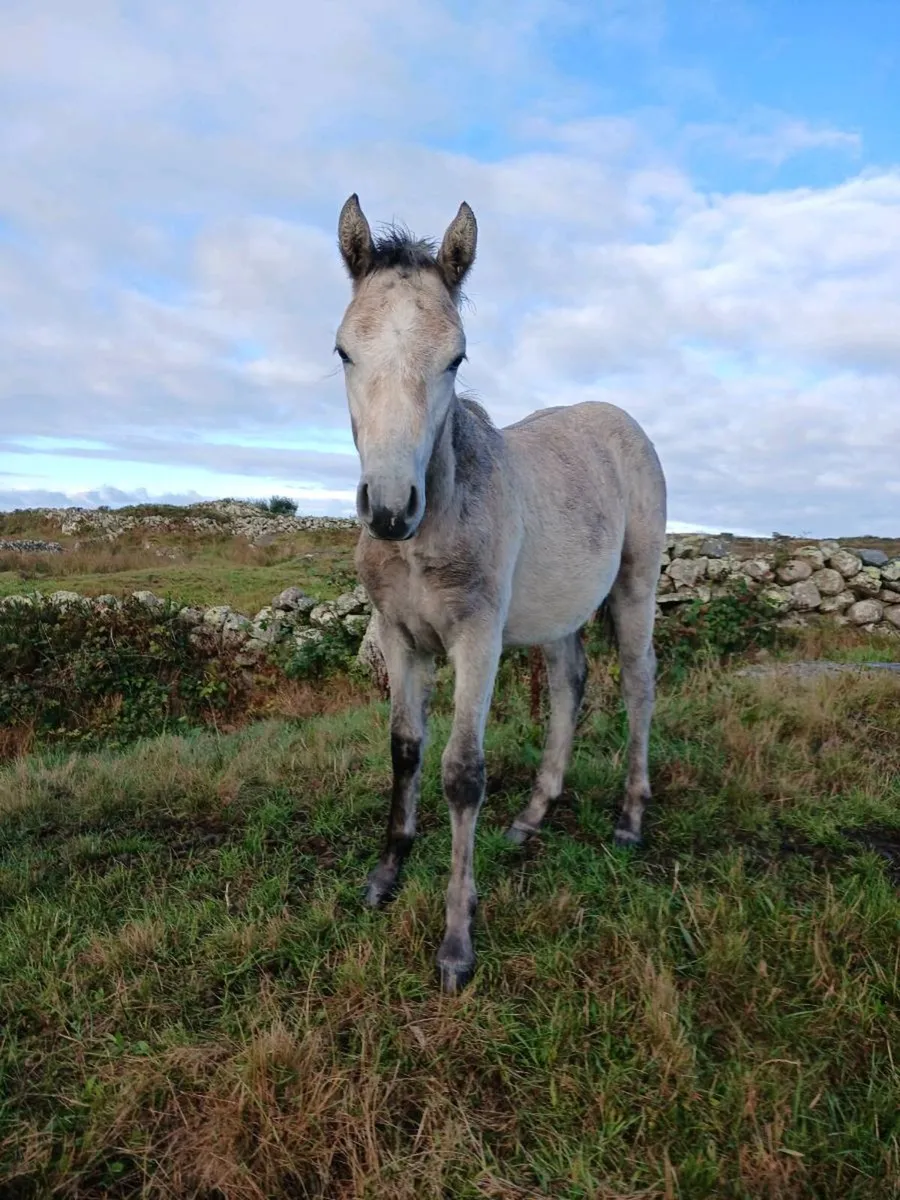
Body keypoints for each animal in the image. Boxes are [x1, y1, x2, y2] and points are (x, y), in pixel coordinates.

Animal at [334, 194, 667, 993]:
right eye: (343, 352)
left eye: (455, 357)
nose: (389, 509)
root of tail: (621, 419)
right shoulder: (400, 637)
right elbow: (404, 749)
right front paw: (385, 875)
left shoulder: (476, 639)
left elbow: (462, 772)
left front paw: (457, 939)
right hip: (562, 609)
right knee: (570, 685)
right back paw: (533, 816)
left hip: (635, 583)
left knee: (638, 682)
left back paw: (630, 819)